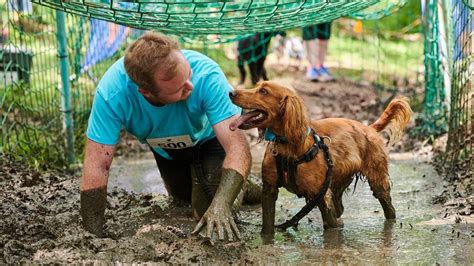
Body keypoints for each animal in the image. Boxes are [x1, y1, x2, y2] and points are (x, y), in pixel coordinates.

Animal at [229, 80, 412, 235]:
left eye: (264, 91)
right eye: (257, 86)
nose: (231, 93)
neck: (288, 147)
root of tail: (369, 128)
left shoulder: (321, 195)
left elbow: (332, 226)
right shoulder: (269, 189)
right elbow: (267, 227)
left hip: (377, 180)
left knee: (388, 207)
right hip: (337, 183)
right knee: (340, 209)